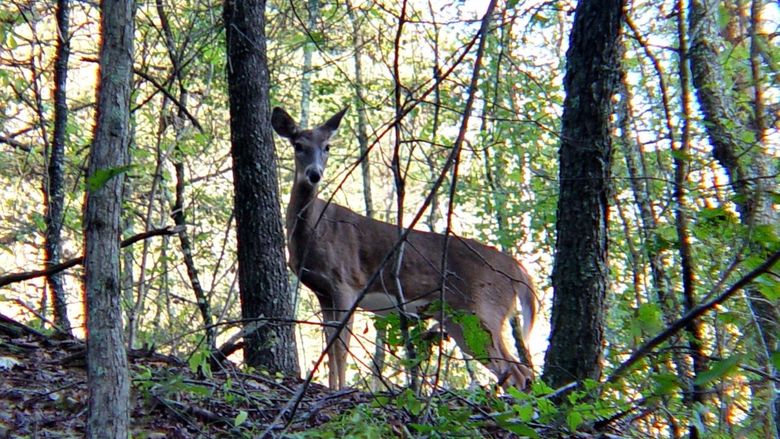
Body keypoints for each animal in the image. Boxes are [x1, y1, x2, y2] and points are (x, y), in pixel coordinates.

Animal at [272, 106, 536, 392]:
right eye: (298, 145)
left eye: (327, 146)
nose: (314, 174)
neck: (313, 232)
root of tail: (518, 271)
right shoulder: (323, 292)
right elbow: (330, 345)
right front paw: (332, 387)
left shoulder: (346, 282)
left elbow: (340, 347)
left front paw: (340, 390)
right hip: (462, 318)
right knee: (517, 371)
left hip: (483, 309)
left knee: (518, 370)